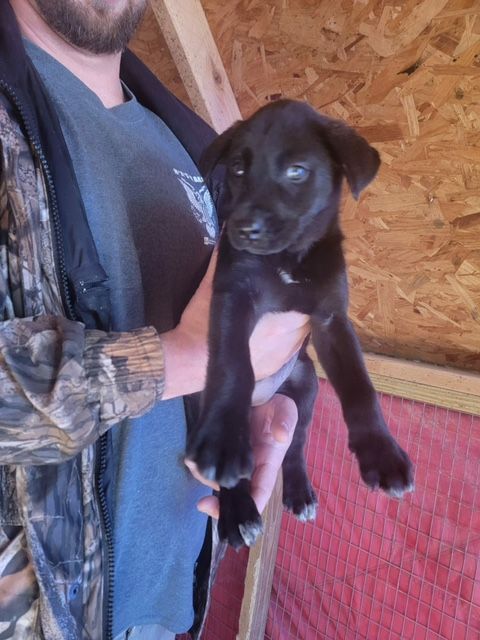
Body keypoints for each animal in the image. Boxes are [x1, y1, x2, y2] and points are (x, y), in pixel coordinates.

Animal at [187, 101, 412, 552]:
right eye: (237, 168)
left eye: (296, 171)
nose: (242, 229)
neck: (289, 259)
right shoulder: (233, 296)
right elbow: (233, 365)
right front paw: (223, 440)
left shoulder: (330, 319)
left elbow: (360, 386)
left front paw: (381, 451)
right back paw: (238, 514)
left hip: (305, 385)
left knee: (297, 444)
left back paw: (299, 491)